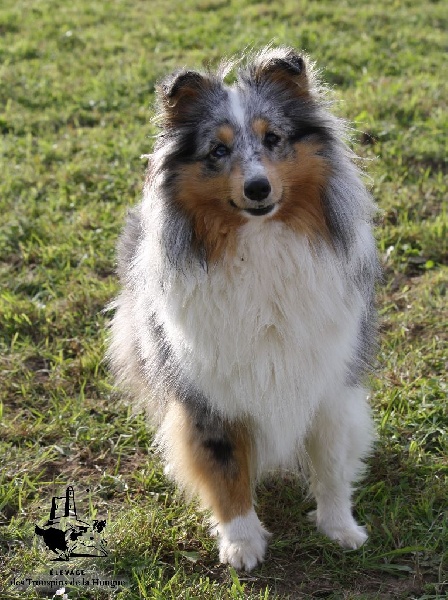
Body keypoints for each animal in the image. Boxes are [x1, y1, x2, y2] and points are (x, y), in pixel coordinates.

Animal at [107, 47, 378, 572]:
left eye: (273, 138)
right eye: (217, 150)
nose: (257, 189)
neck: (260, 245)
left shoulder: (329, 378)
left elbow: (331, 461)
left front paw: (340, 528)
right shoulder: (208, 391)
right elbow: (224, 468)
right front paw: (242, 544)